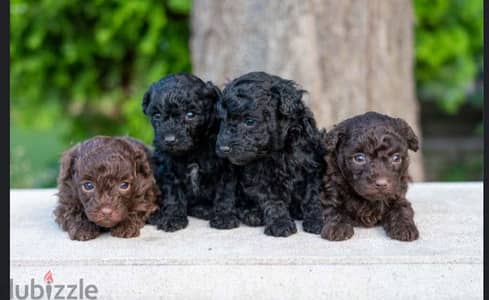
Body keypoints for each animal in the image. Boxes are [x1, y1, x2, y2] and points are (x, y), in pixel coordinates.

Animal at [142, 73, 239, 232]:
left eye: (190, 114)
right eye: (156, 115)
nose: (169, 140)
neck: (193, 150)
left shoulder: (225, 168)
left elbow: (225, 192)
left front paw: (224, 217)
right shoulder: (168, 169)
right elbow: (172, 194)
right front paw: (173, 218)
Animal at [214, 71, 324, 237]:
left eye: (250, 121)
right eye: (222, 120)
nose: (223, 147)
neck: (279, 148)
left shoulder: (312, 166)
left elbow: (313, 196)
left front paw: (317, 220)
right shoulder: (262, 177)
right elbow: (273, 200)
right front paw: (280, 224)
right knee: (227, 193)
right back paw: (241, 215)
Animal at [320, 112, 420, 241]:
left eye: (396, 158)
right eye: (359, 158)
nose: (381, 184)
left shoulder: (398, 195)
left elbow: (402, 209)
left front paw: (404, 227)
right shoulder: (333, 189)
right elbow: (334, 207)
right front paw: (337, 227)